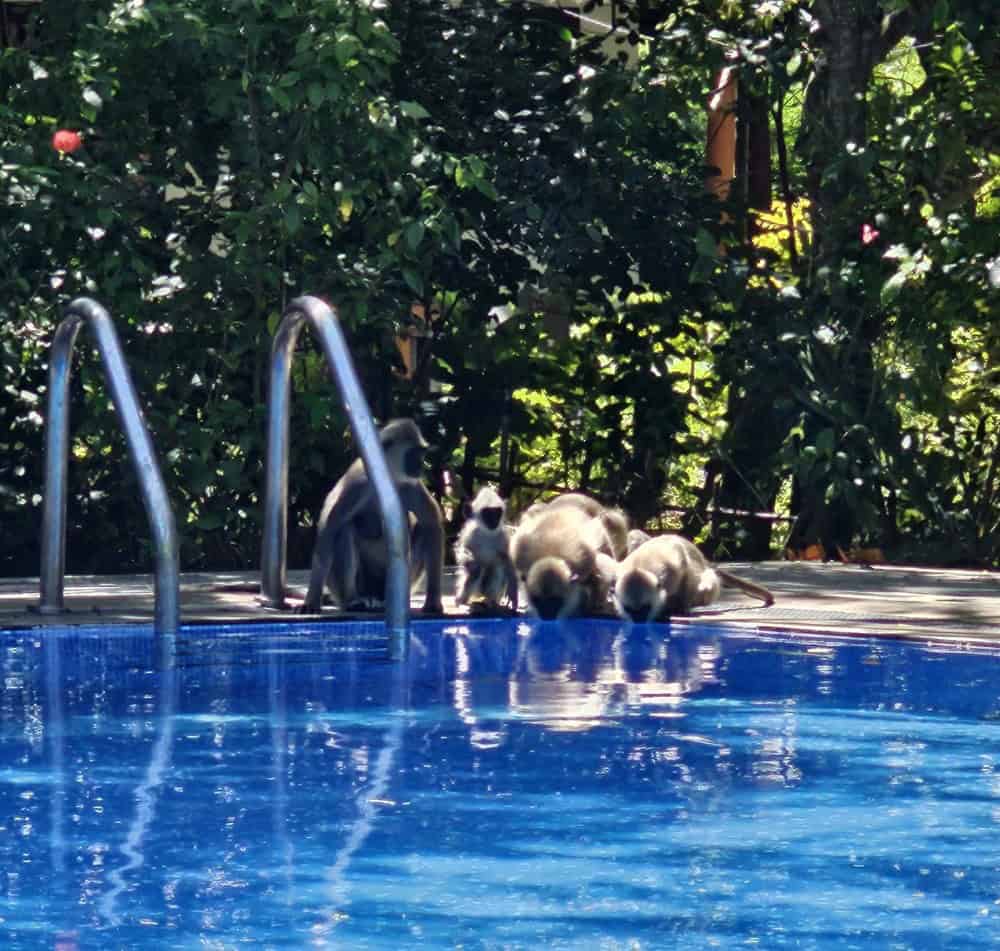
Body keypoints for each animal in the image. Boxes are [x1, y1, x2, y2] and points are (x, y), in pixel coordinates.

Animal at [298, 418, 444, 612]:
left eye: (423, 453)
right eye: (414, 454)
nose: (421, 466)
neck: (385, 478)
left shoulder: (410, 484)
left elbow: (431, 523)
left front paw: (433, 600)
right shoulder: (357, 485)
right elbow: (330, 528)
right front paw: (311, 600)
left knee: (421, 529)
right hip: (345, 585)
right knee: (345, 529)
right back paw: (353, 600)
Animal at [616, 536, 772, 624]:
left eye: (645, 608)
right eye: (629, 610)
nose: (638, 620)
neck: (639, 568)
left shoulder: (670, 570)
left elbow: (683, 562)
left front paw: (683, 607)